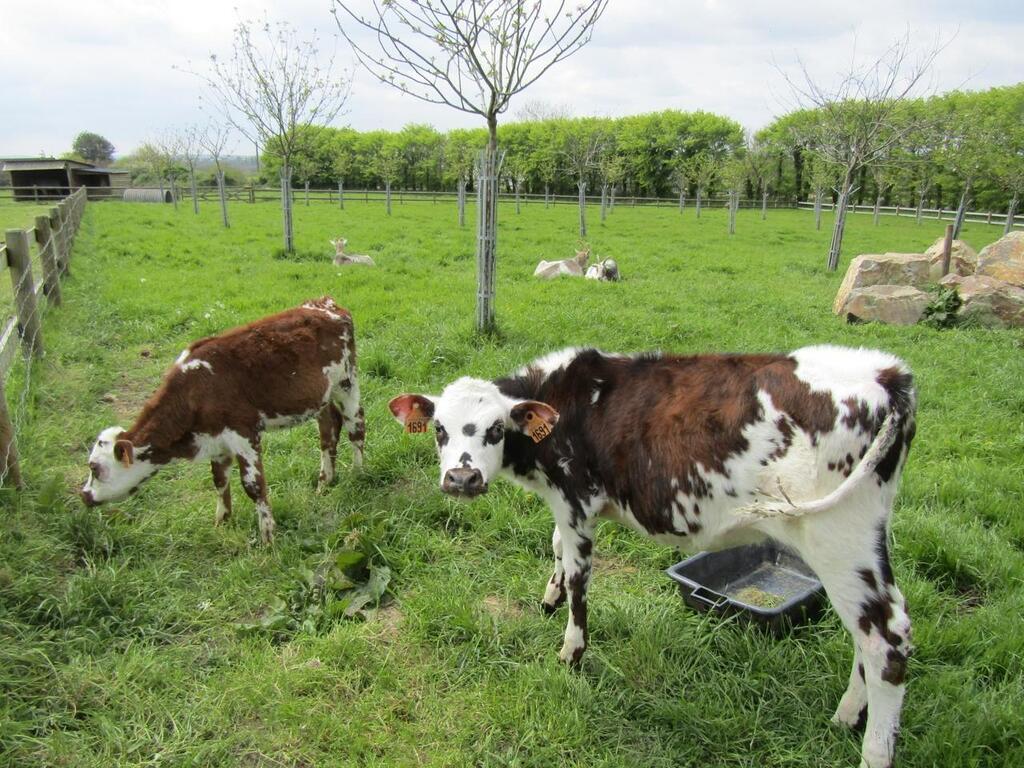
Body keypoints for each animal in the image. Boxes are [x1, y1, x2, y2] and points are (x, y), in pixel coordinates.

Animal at [81, 296, 366, 544]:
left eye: (95, 468)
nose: (84, 495)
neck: (197, 391)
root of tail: (325, 303)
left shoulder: (244, 434)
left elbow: (253, 486)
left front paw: (268, 537)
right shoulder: (215, 441)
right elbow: (219, 480)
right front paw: (222, 522)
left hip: (346, 383)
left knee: (356, 426)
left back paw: (358, 473)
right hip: (321, 396)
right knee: (328, 430)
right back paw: (325, 481)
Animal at [391, 348, 921, 768]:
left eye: (496, 429)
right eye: (439, 430)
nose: (463, 479)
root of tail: (885, 373)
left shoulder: (576, 501)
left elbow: (580, 577)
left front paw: (571, 651)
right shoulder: (565, 507)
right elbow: (557, 548)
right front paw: (549, 597)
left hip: (838, 536)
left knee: (887, 639)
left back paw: (873, 751)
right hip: (863, 537)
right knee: (866, 633)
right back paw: (847, 715)